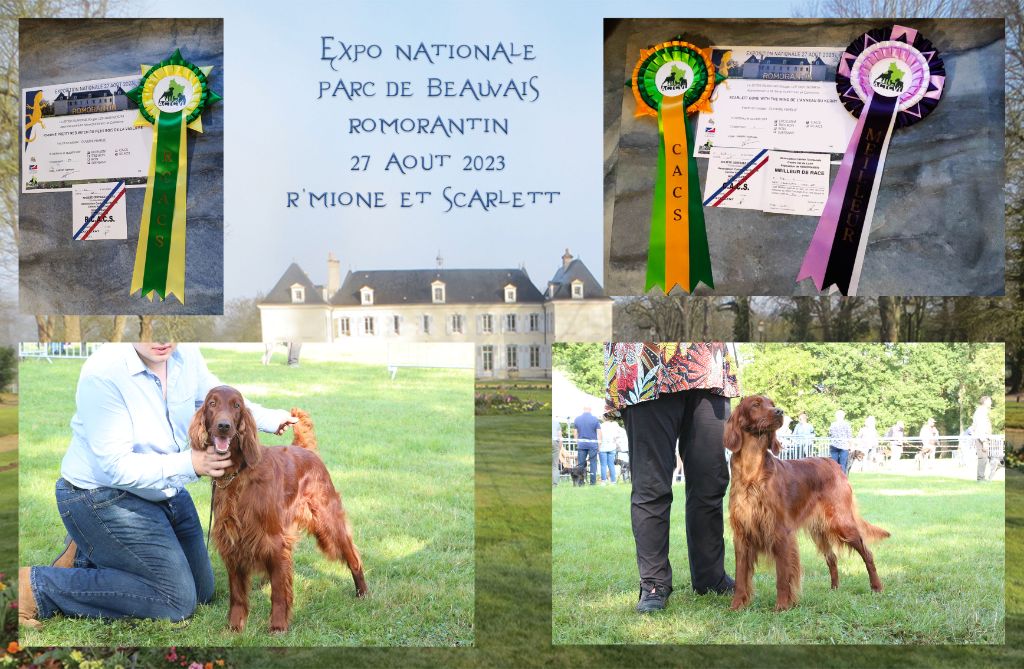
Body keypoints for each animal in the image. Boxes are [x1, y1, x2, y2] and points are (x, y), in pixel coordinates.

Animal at [190, 385, 370, 631]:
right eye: (212, 403)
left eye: (236, 405)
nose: (224, 426)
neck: (239, 474)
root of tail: (306, 450)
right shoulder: (232, 540)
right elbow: (237, 593)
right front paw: (235, 627)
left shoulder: (274, 540)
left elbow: (278, 590)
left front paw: (277, 626)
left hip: (329, 523)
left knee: (353, 557)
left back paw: (363, 592)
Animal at [720, 397, 888, 610]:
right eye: (756, 404)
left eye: (771, 403)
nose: (779, 411)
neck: (752, 472)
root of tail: (834, 463)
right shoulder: (742, 533)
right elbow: (741, 576)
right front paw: (736, 606)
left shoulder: (780, 531)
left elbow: (783, 576)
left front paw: (782, 606)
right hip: (820, 530)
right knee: (832, 557)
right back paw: (834, 589)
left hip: (842, 523)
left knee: (867, 553)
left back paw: (876, 587)